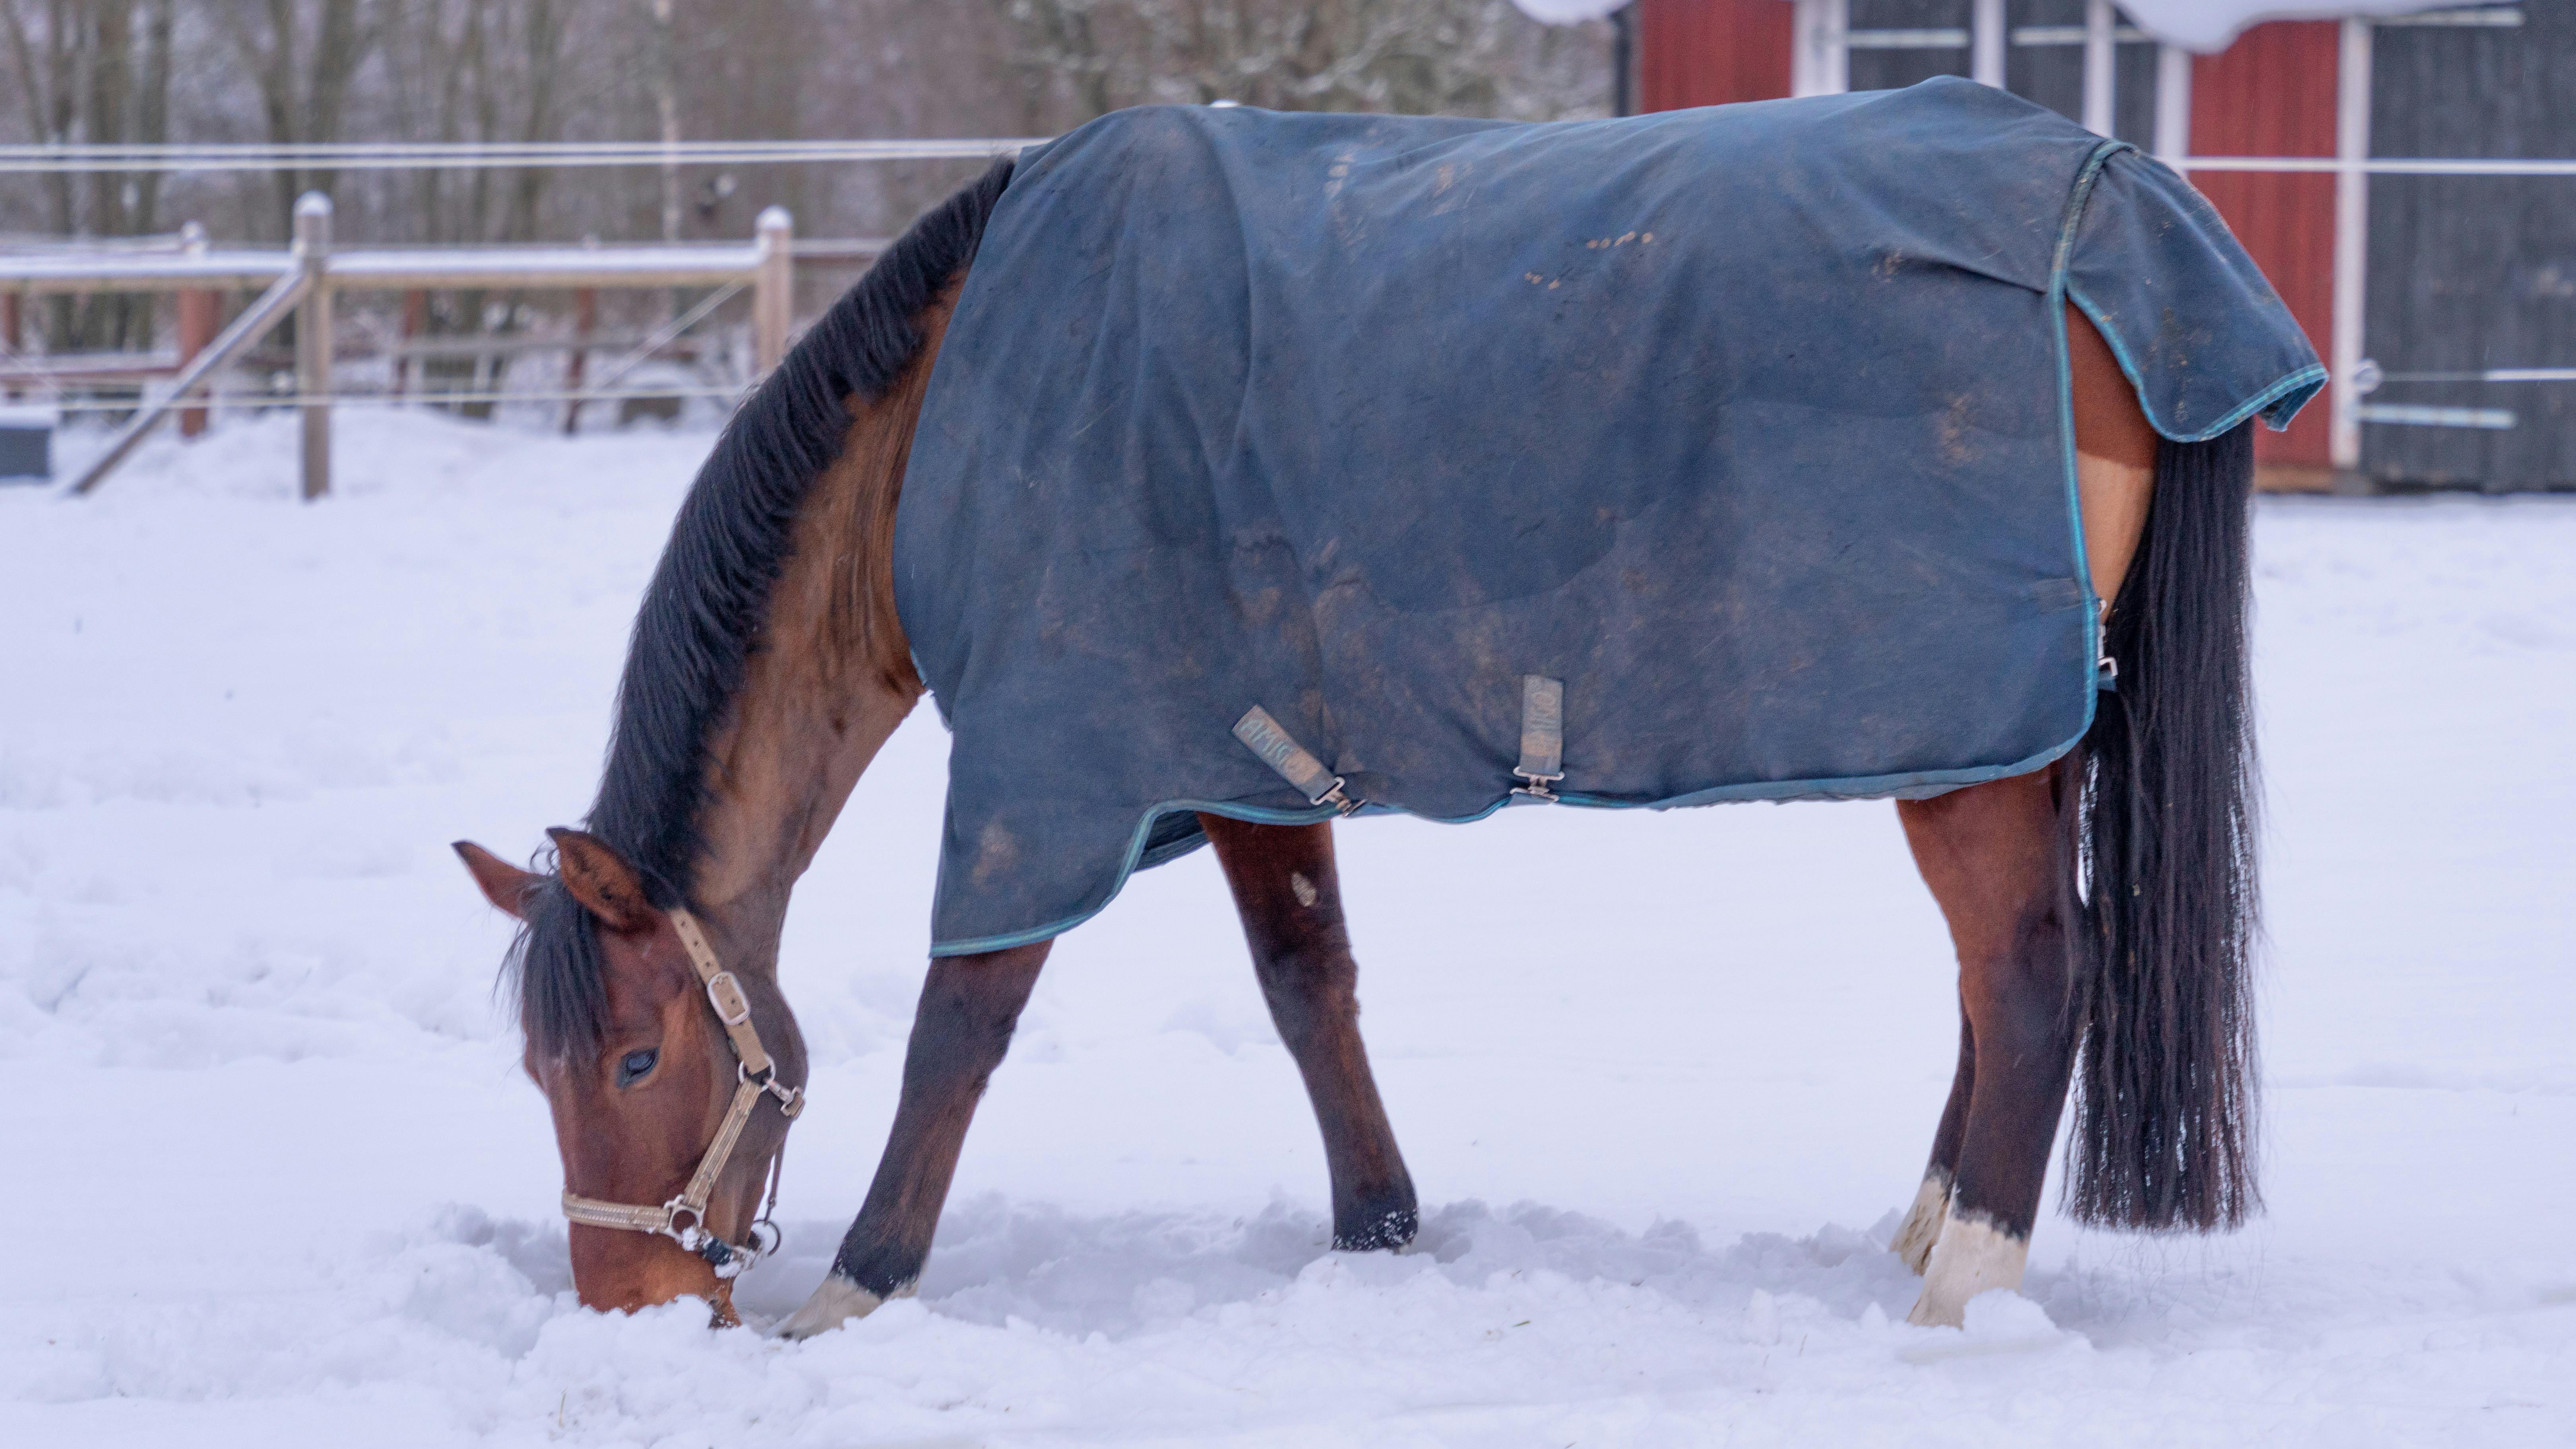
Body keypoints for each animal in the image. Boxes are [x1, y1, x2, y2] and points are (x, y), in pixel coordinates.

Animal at [456, 97, 2271, 1336]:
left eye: (636, 1051)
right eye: (538, 1065)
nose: (624, 1302)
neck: (948, 416)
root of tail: (2116, 201)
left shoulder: (1049, 765)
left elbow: (961, 1021)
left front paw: (861, 1285)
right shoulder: (1238, 749)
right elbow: (1305, 983)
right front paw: (1382, 1226)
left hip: (1966, 744)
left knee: (2029, 973)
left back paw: (1961, 1287)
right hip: (2002, 737)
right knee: (1998, 977)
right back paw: (1927, 1228)